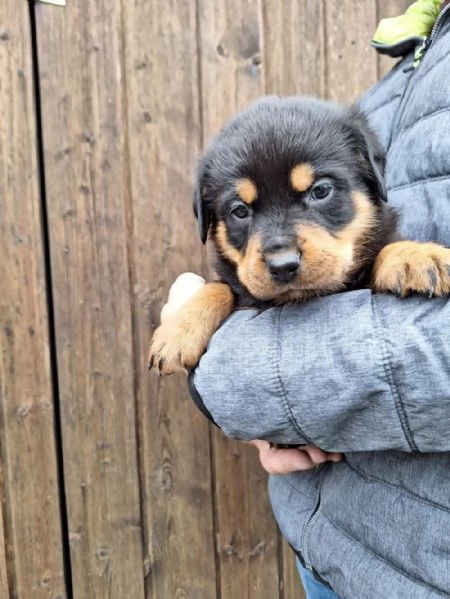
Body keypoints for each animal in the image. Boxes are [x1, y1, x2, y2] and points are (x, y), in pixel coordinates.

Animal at [149, 97, 450, 376]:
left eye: (321, 190)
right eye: (239, 211)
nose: (283, 265)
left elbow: (384, 249)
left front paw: (418, 256)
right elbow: (219, 287)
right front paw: (178, 330)